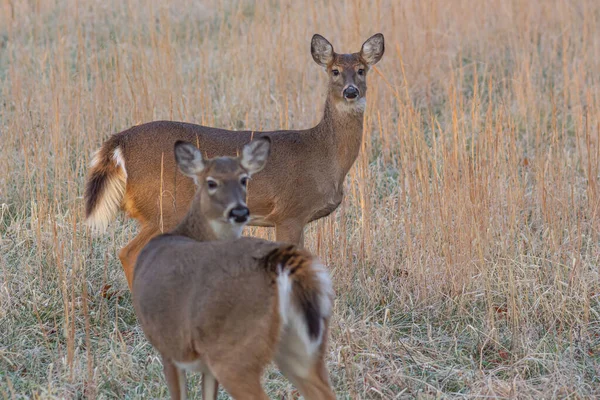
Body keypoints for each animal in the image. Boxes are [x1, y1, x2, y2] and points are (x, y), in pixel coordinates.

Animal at [133, 140, 336, 400]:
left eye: (244, 179)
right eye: (211, 182)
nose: (239, 212)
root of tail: (281, 263)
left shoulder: (169, 347)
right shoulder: (201, 363)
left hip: (233, 353)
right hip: (303, 347)